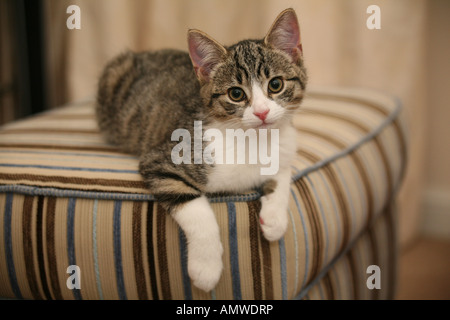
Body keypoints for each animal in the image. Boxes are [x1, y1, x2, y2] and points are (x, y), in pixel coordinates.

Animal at [96, 8, 308, 292]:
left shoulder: (285, 145)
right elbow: (195, 209)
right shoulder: (162, 160)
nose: (262, 112)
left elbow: (282, 175)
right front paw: (206, 268)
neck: (253, 139)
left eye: (275, 85)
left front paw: (274, 218)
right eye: (236, 94)